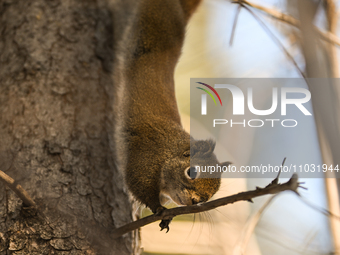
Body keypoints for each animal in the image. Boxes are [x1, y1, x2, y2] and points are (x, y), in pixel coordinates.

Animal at [112, 0, 231, 231]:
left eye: (210, 196)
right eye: (191, 172)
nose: (195, 201)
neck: (169, 150)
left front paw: (167, 217)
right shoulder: (142, 160)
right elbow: (140, 188)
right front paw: (158, 209)